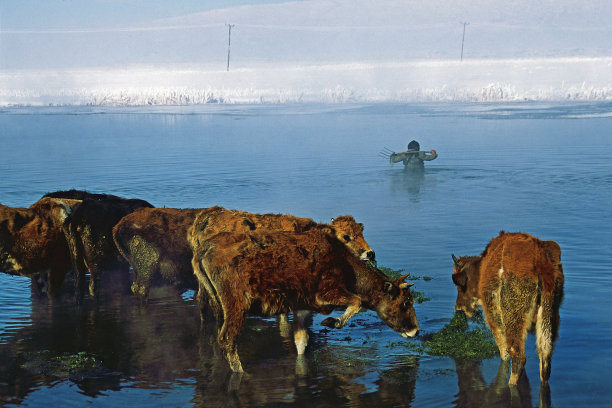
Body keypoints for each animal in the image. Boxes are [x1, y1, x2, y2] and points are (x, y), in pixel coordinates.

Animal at [192, 230, 420, 372]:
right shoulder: (325, 293)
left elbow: (301, 341)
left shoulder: (302, 306)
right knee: (227, 339)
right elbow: (356, 302)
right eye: (406, 302)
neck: (348, 269)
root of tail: (203, 249)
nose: (415, 330)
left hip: (218, 303)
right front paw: (332, 322)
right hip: (237, 303)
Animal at [450, 233, 564, 386]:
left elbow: (504, 353)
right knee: (545, 359)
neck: (481, 268)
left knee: (518, 357)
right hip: (549, 316)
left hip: (513, 320)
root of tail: (541, 260)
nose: (459, 307)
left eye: (459, 285)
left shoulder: (494, 320)